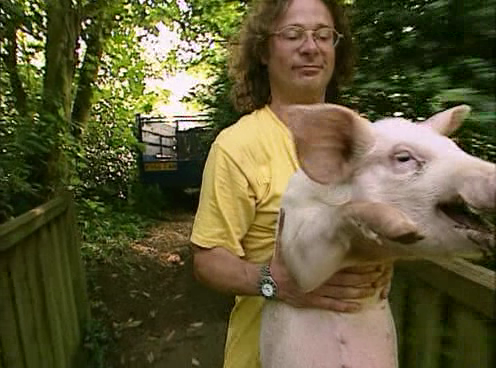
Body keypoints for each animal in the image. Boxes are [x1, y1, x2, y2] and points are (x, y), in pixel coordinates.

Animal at [260, 103, 496, 368]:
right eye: (403, 158)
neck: (364, 255)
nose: (493, 173)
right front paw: (405, 229)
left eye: (454, 147)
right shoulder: (294, 240)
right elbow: (309, 265)